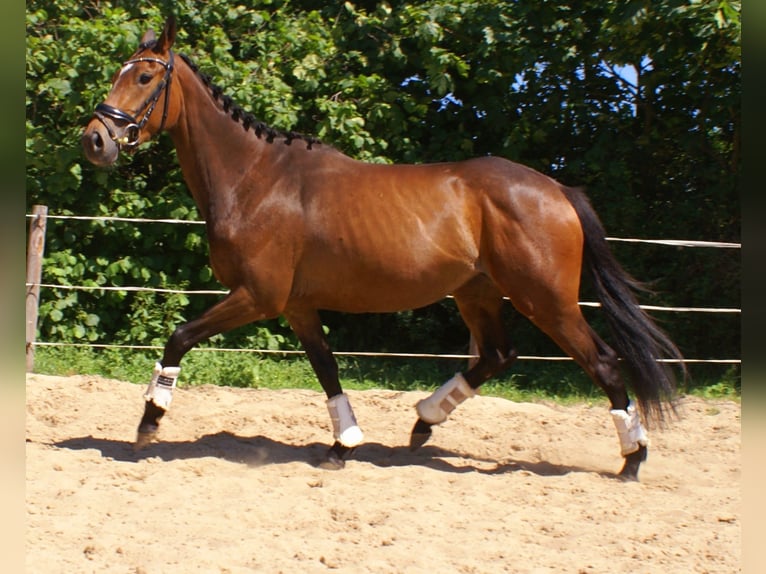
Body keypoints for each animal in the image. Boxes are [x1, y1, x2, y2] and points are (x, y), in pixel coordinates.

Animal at [82, 17, 683, 480]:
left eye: (144, 75)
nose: (95, 139)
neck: (255, 177)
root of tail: (557, 190)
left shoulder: (258, 296)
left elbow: (179, 338)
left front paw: (149, 422)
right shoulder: (297, 306)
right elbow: (327, 369)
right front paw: (342, 446)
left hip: (546, 300)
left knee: (603, 363)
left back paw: (633, 459)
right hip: (478, 293)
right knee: (496, 355)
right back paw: (423, 421)